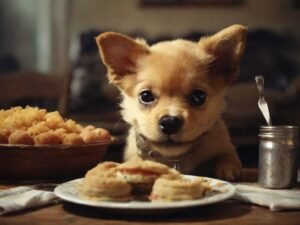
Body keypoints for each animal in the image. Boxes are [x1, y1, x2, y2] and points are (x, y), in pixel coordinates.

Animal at [95, 24, 246, 181]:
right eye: (146, 96)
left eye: (199, 96)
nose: (170, 122)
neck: (174, 158)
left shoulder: (226, 148)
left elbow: (227, 157)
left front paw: (229, 170)